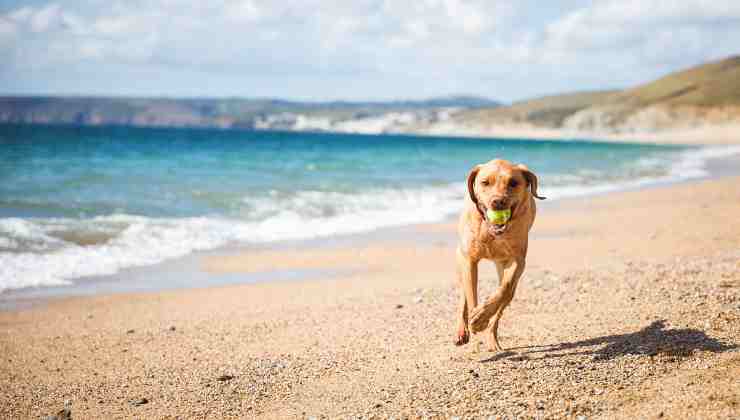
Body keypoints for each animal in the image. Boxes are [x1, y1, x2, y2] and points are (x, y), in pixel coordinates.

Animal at [450, 159, 544, 350]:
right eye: (485, 182)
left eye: (513, 183)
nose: (498, 201)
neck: (491, 231)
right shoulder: (469, 260)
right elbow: (471, 295)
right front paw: (476, 318)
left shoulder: (517, 260)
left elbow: (505, 287)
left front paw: (482, 316)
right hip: (461, 259)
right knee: (464, 294)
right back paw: (462, 330)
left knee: (503, 302)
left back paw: (492, 339)